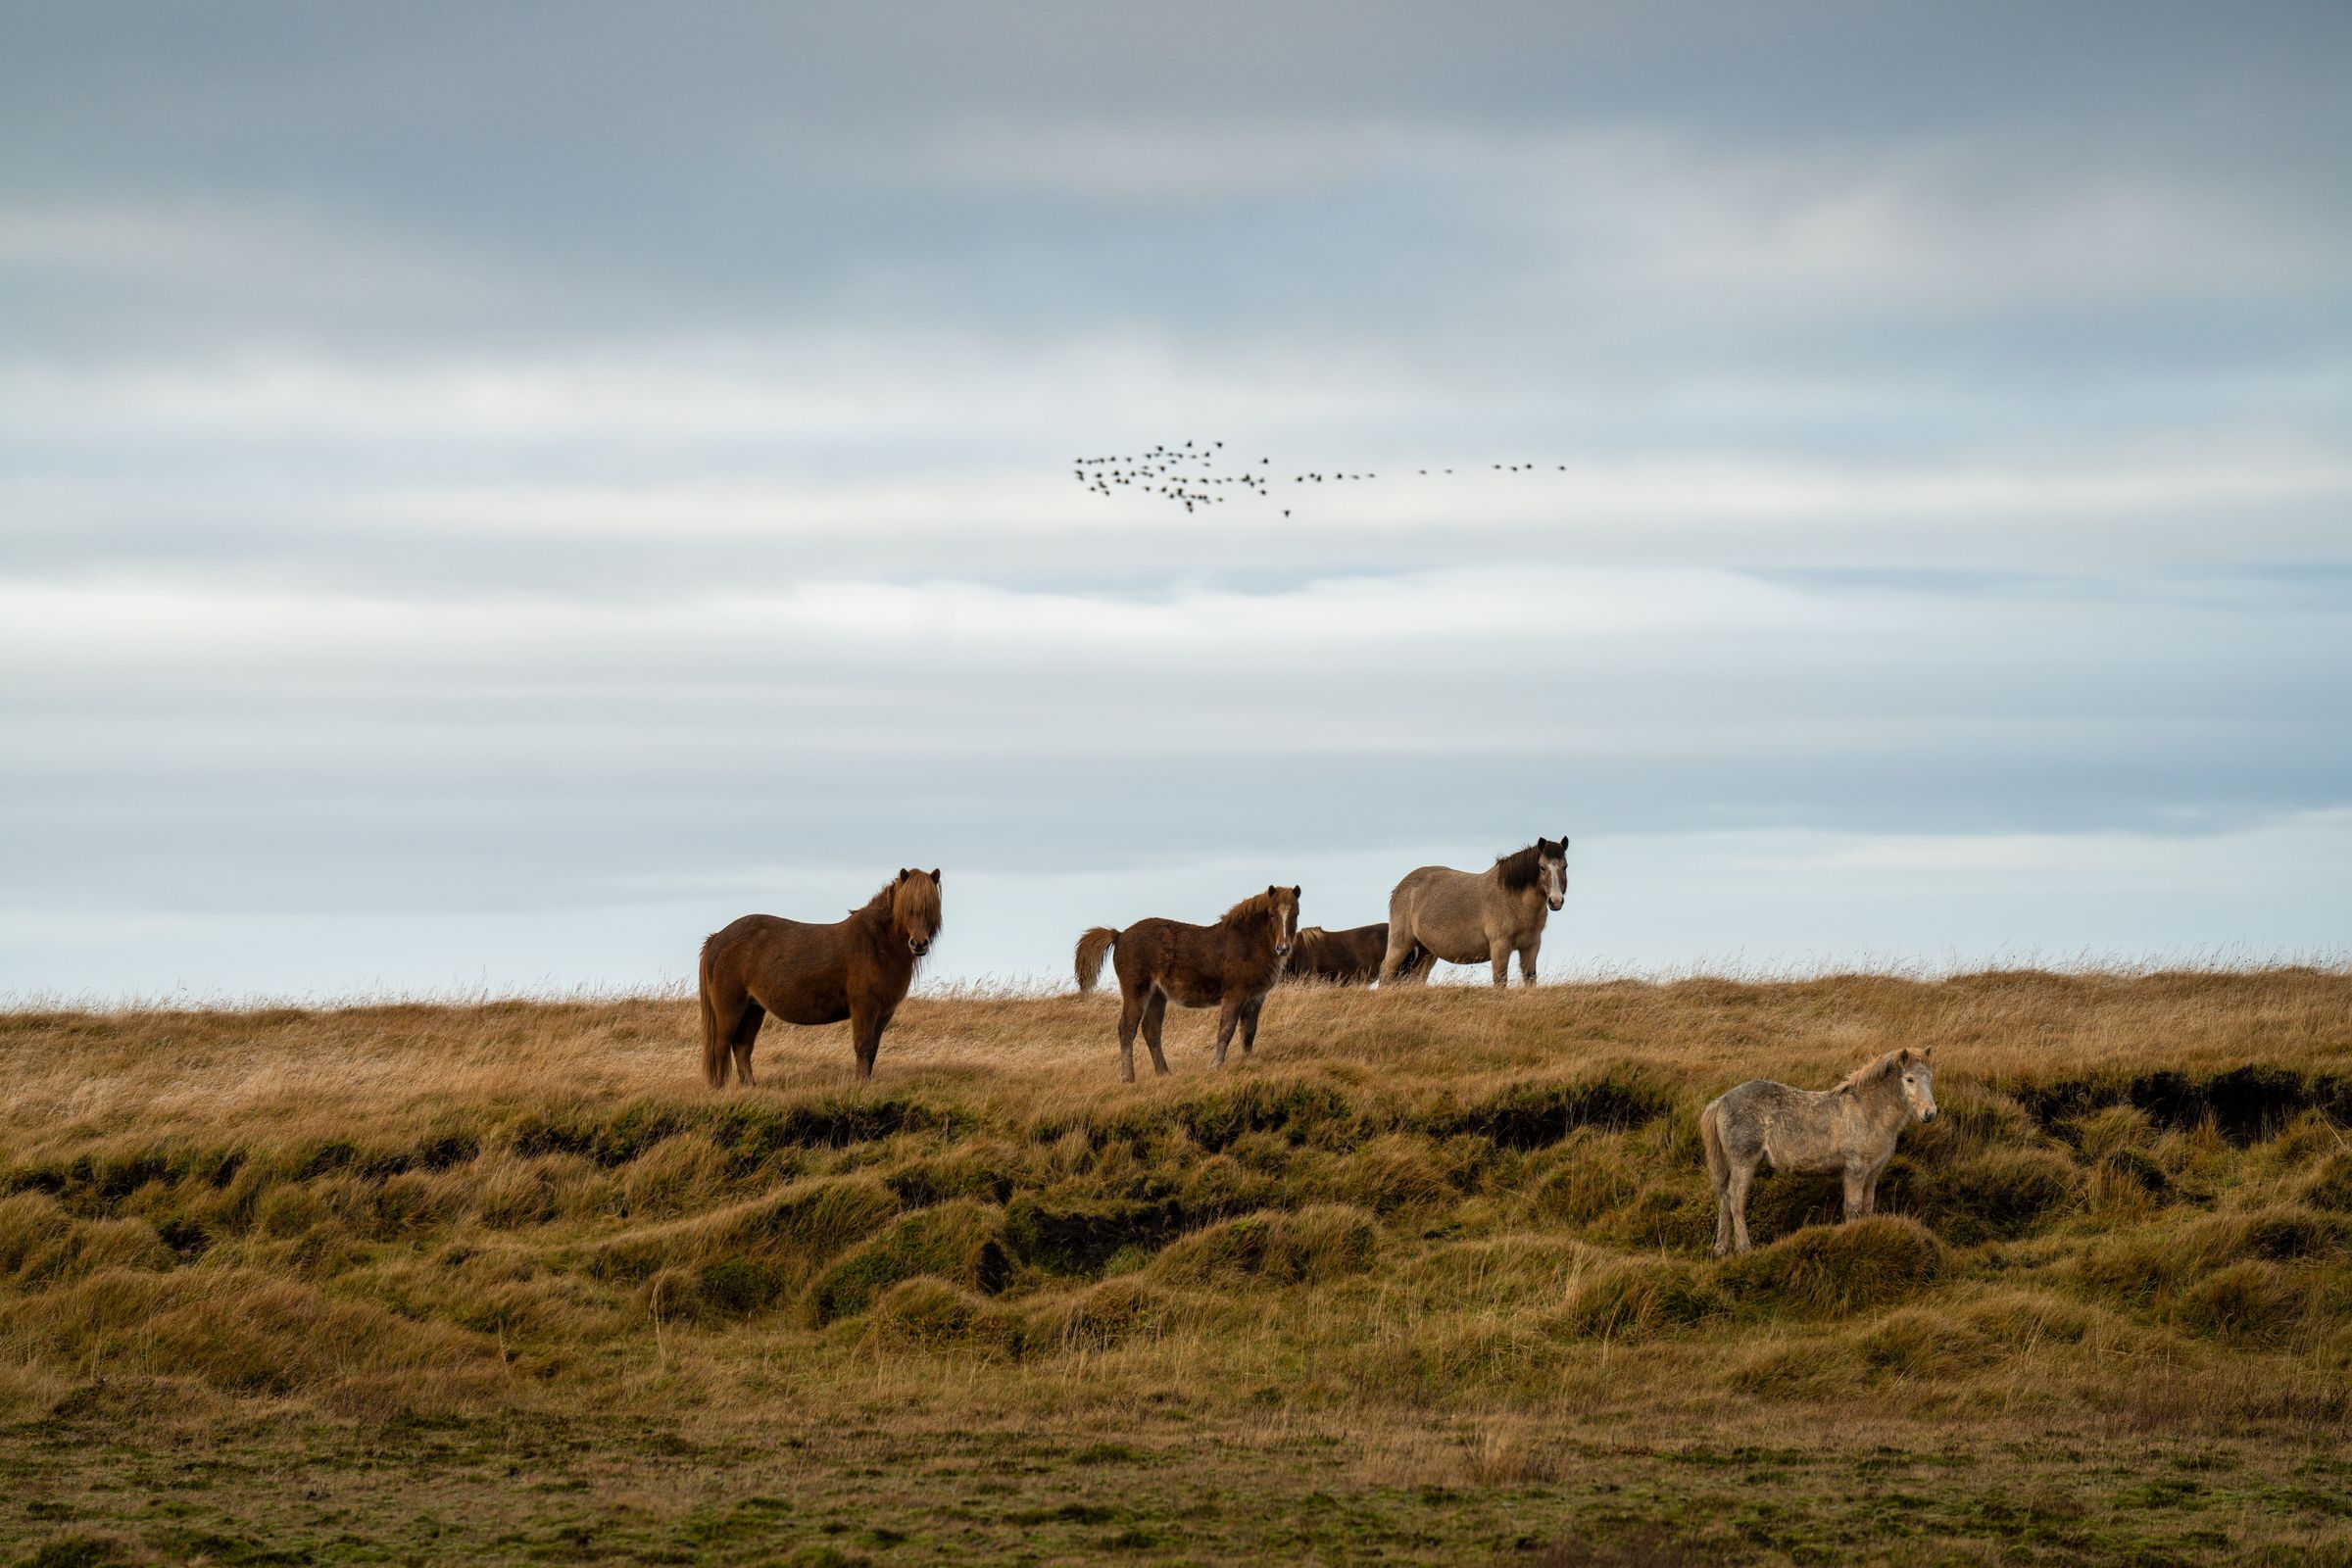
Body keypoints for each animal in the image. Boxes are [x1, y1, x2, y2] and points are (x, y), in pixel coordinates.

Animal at [697, 868, 942, 1086]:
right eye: (908, 908)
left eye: (930, 908)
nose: (919, 944)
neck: (876, 943)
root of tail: (717, 937)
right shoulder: (864, 1007)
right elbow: (862, 1046)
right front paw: (860, 1085)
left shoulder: (884, 1012)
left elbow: (872, 1049)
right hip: (730, 1009)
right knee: (721, 1047)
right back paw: (720, 1088)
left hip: (753, 1009)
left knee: (742, 1047)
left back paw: (750, 1086)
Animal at [1073, 885, 1301, 1083]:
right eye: (1271, 914)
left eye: (1295, 914)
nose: (1283, 948)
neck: (1248, 943)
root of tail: (1119, 935)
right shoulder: (1235, 995)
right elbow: (1226, 1030)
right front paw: (1215, 1065)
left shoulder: (1255, 997)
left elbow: (1249, 1031)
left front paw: (1247, 1062)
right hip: (1136, 991)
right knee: (1127, 1029)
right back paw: (1128, 1078)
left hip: (1157, 995)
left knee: (1151, 1030)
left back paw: (1164, 1072)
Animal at [1379, 836, 1568, 987]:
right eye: (1541, 867)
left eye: (1565, 866)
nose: (1555, 901)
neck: (1514, 900)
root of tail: (1400, 888)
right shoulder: (1500, 946)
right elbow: (1500, 981)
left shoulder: (1531, 946)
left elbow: (1530, 980)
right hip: (1401, 943)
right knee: (1386, 971)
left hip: (1427, 951)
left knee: (1417, 978)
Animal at [1699, 1047, 1940, 1256]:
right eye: (1910, 1079)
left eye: (1929, 1077)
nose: (1930, 1113)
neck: (1867, 1112)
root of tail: (1721, 1102)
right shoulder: (1855, 1170)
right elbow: (1853, 1208)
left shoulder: (1873, 1171)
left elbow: (1867, 1206)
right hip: (1744, 1163)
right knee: (1736, 1200)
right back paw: (1744, 1248)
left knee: (1724, 1197)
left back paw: (1721, 1249)